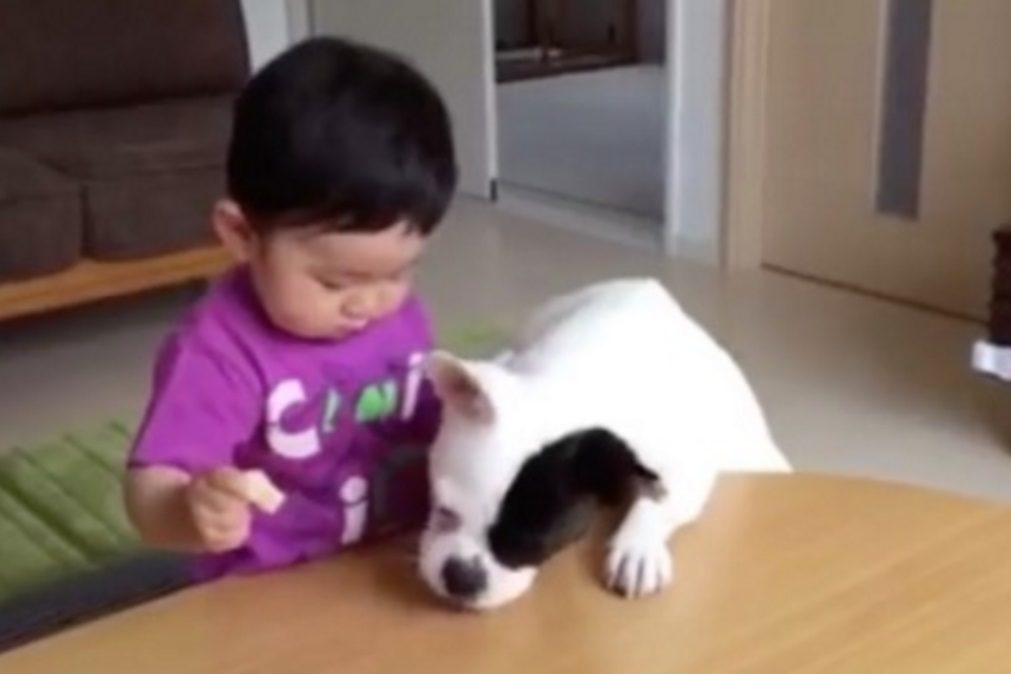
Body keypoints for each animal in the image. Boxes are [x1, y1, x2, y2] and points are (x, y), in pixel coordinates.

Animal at [414, 278, 784, 610]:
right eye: (442, 509)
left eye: (533, 547)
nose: (461, 577)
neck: (569, 388)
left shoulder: (682, 460)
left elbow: (660, 497)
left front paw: (638, 549)